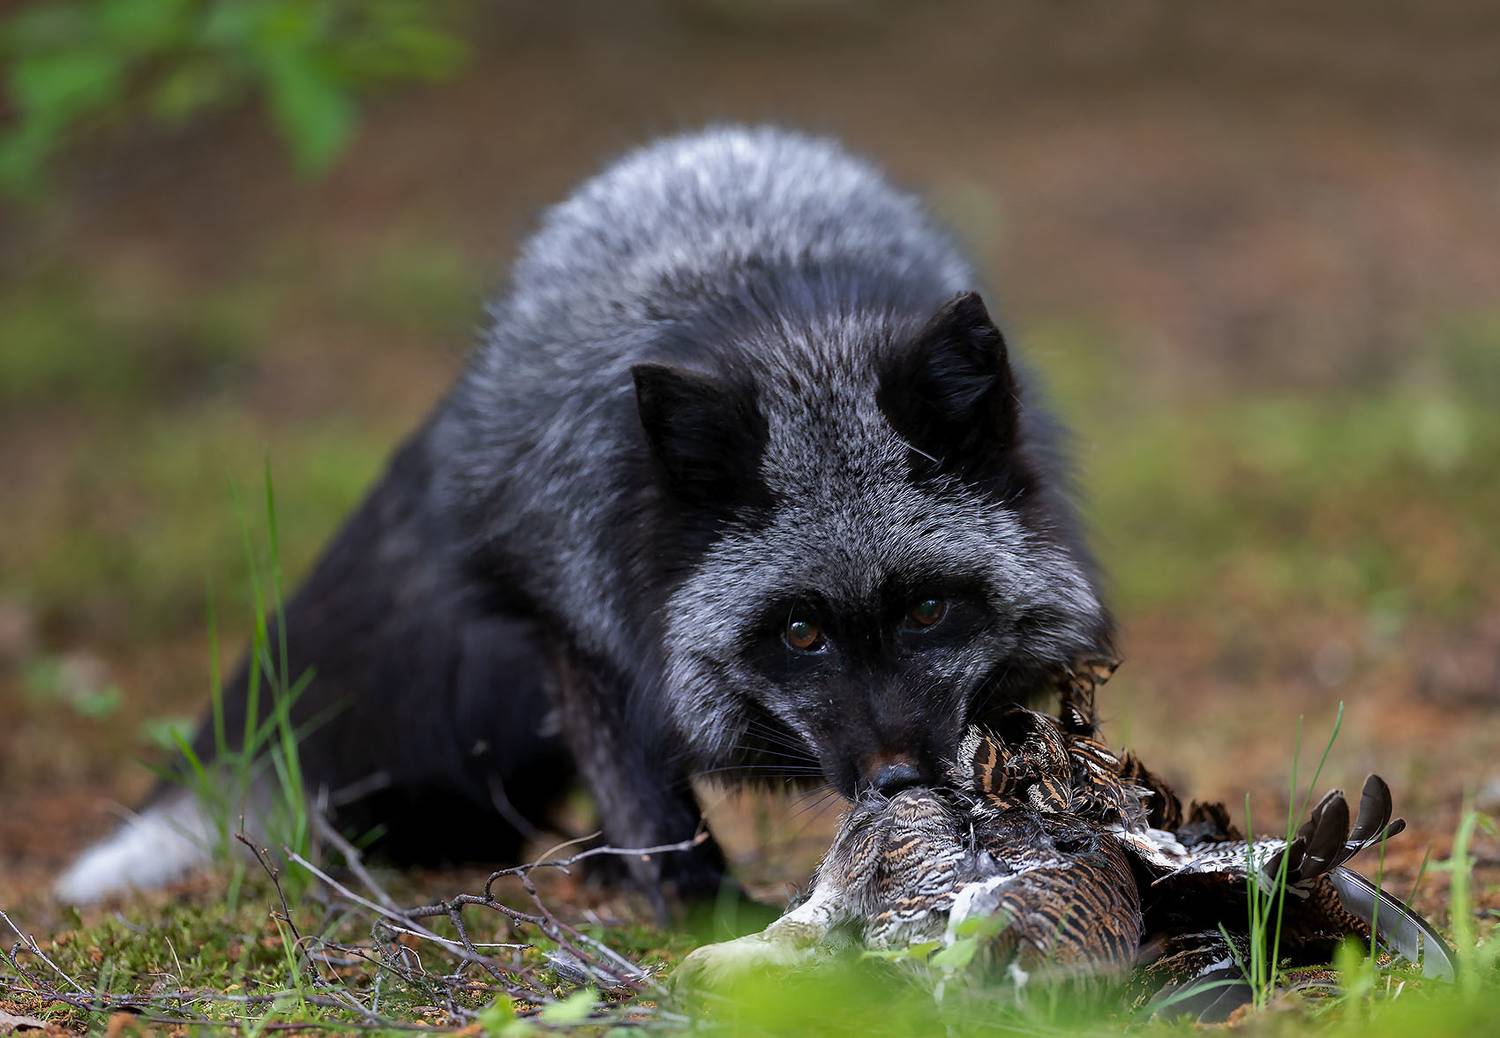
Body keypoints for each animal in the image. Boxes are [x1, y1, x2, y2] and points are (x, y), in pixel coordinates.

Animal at [56, 126, 1113, 907]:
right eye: (799, 631)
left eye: (929, 611)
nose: (899, 786)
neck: (781, 321)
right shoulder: (583, 616)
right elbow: (647, 795)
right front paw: (699, 915)